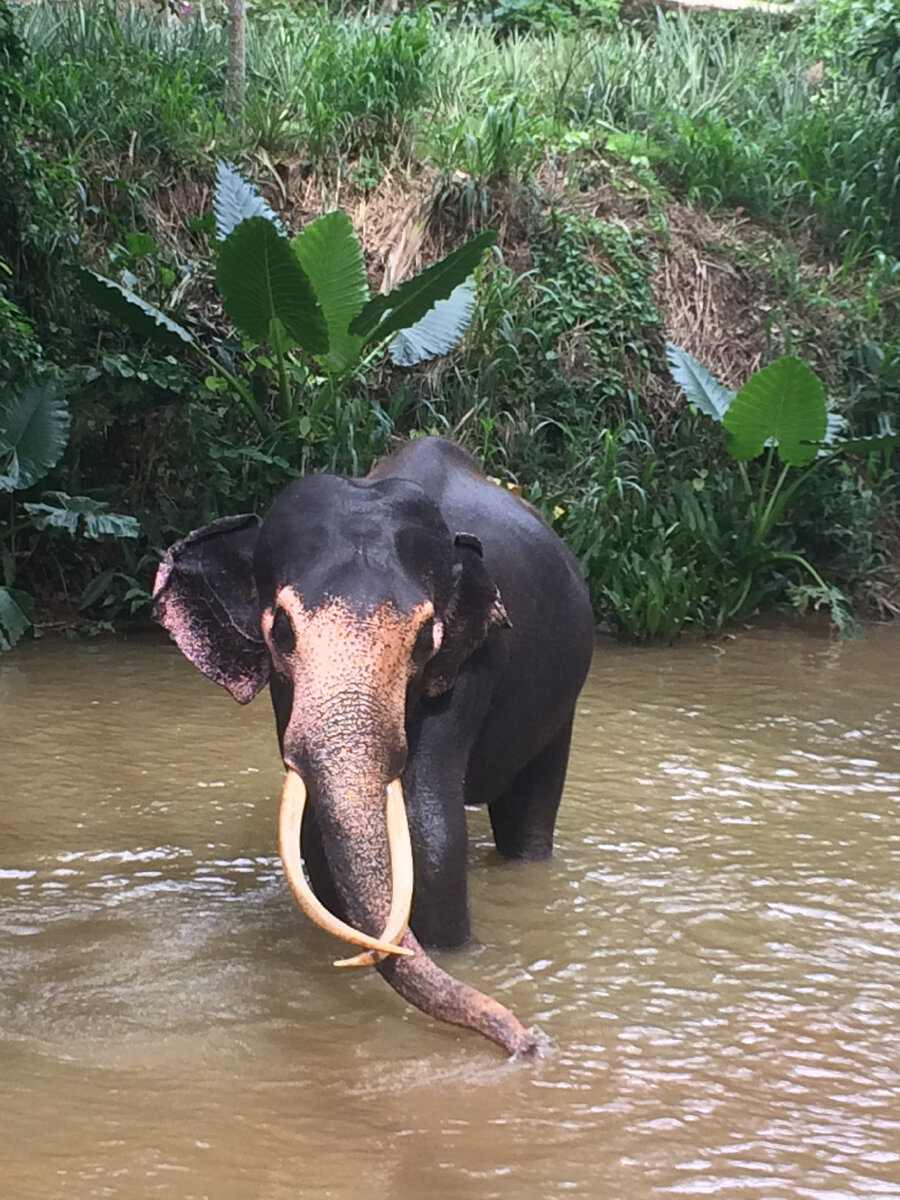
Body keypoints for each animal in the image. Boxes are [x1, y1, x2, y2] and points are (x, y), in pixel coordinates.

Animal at [151, 436, 595, 1056]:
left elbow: (427, 826)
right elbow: (317, 832)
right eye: (280, 630)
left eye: (427, 636)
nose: (527, 1043)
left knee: (531, 809)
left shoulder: (471, 664)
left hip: (562, 703)